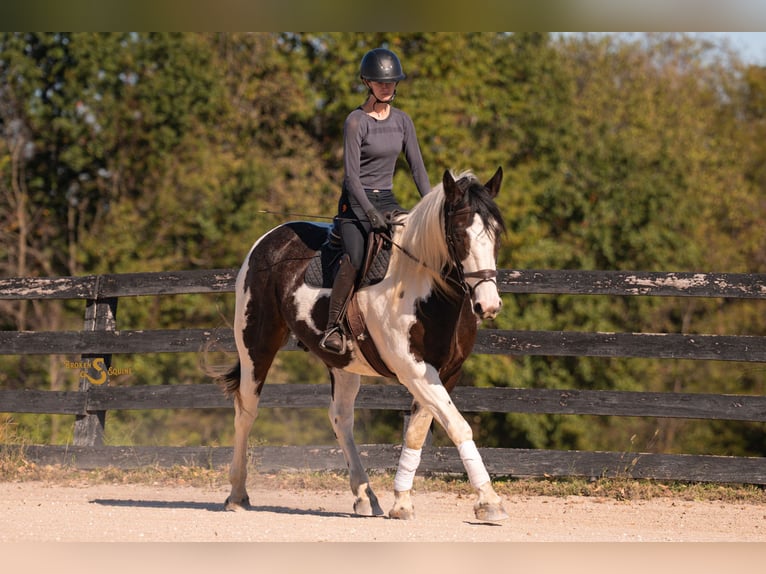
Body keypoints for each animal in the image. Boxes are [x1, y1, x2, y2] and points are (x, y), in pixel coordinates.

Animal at [216, 167, 509, 521]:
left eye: (495, 234)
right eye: (457, 235)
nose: (487, 305)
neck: (424, 285)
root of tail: (268, 240)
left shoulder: (445, 373)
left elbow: (419, 431)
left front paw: (402, 502)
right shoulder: (414, 370)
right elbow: (458, 426)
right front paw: (489, 501)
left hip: (342, 364)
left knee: (341, 418)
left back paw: (365, 495)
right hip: (256, 347)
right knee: (246, 410)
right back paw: (237, 495)